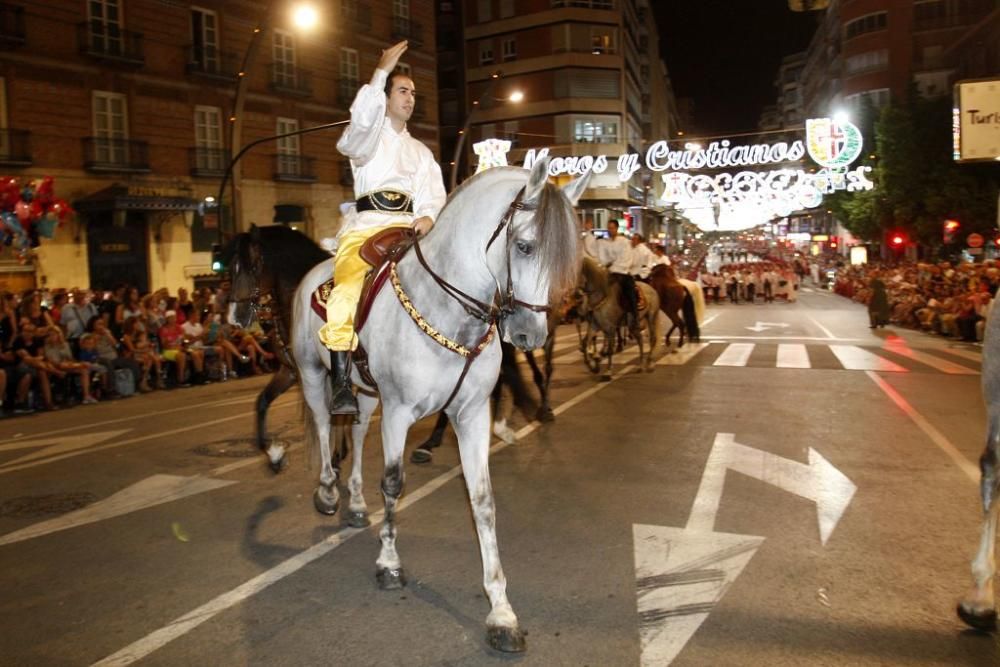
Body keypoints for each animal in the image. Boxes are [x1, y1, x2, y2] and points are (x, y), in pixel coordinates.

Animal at [286, 160, 588, 652]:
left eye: (568, 259)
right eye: (524, 245)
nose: (530, 336)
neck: (450, 312)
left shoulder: (471, 415)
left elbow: (482, 500)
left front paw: (501, 611)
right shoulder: (399, 412)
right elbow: (393, 484)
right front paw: (389, 563)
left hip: (366, 394)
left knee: (355, 430)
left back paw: (354, 504)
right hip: (314, 375)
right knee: (324, 424)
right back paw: (329, 492)